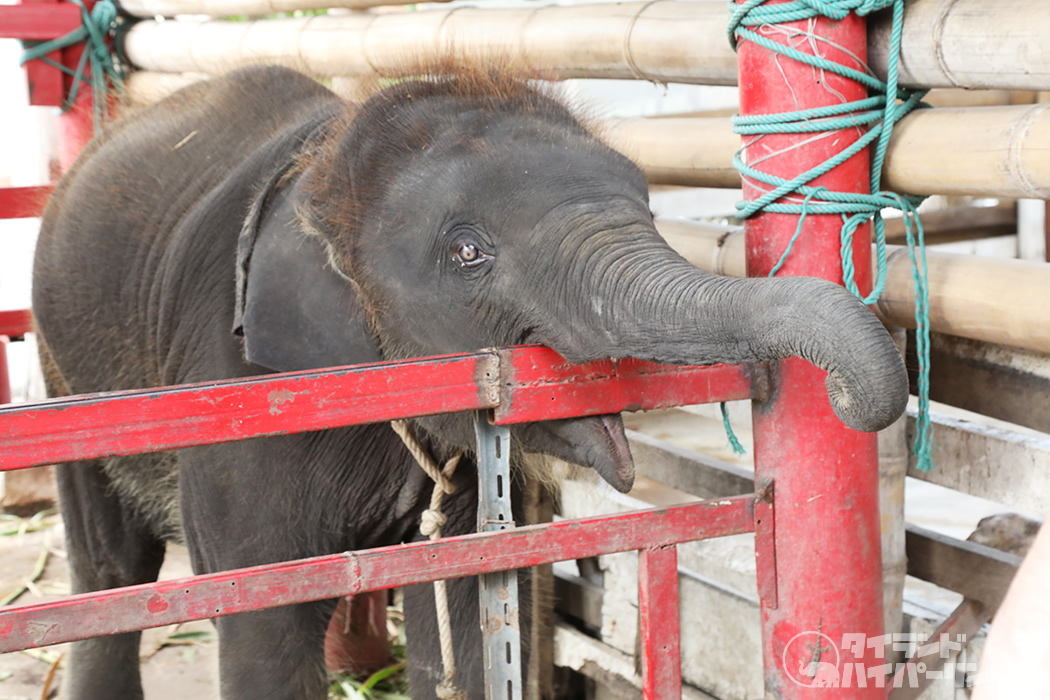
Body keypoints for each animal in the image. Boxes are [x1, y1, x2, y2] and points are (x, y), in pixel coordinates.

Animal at [30, 62, 902, 696]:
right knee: (112, 570)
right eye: (468, 252)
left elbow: (462, 611)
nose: (831, 390)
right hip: (61, 370)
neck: (329, 164)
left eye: (652, 208)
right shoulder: (241, 391)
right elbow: (261, 625)